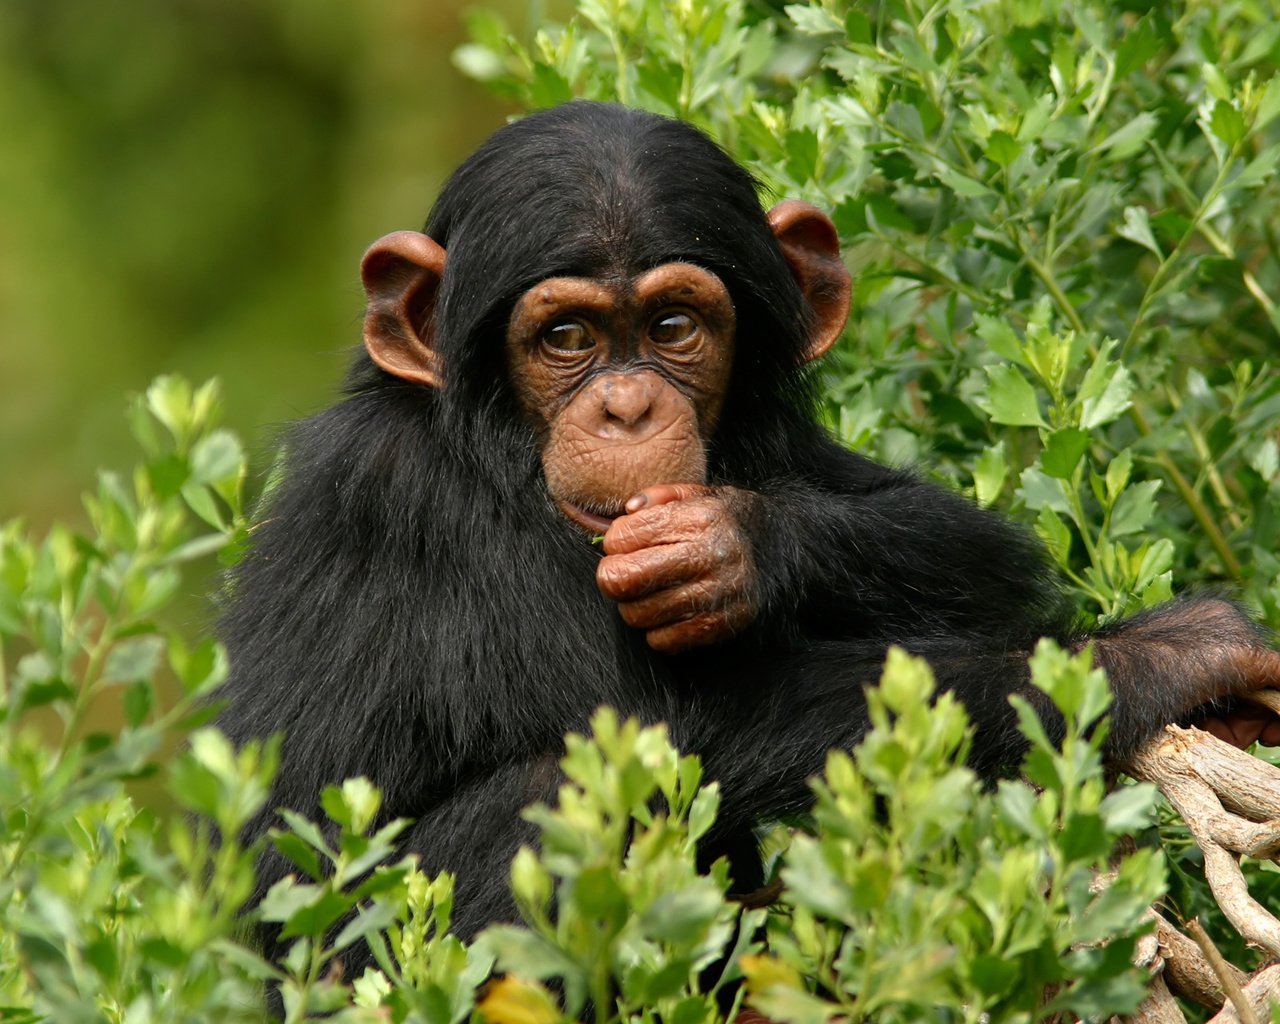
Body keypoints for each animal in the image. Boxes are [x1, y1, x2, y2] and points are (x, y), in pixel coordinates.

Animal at [215, 103, 1280, 967]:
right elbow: (651, 727)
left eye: (674, 325)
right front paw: (1169, 656)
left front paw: (736, 547)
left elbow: (971, 549)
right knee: (559, 794)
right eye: (566, 340)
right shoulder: (412, 502)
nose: (627, 408)